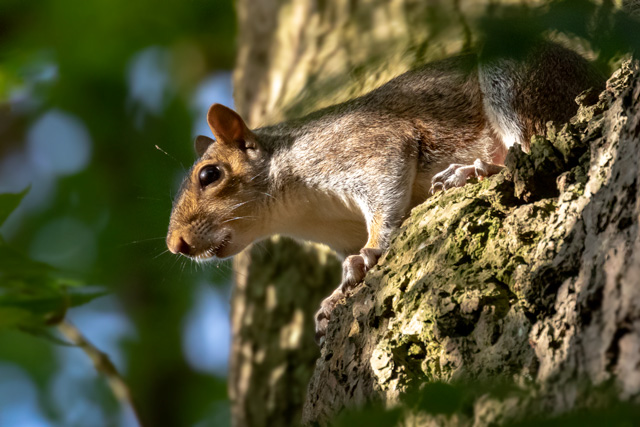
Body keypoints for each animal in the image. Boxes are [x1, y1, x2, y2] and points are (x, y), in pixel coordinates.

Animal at [166, 42, 604, 344]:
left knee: (527, 145)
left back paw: (474, 169)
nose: (176, 245)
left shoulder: (368, 149)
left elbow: (385, 200)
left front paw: (369, 253)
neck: (303, 212)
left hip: (515, 82)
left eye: (209, 175)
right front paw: (333, 299)